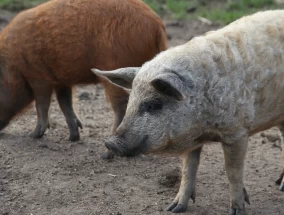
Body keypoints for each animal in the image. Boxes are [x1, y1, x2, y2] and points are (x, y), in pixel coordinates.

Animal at [0, 0, 166, 156]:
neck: (12, 63)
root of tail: (157, 25)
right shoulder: (61, 80)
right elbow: (65, 102)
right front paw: (73, 138)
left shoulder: (38, 76)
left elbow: (42, 104)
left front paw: (32, 135)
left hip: (115, 69)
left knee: (122, 105)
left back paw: (105, 154)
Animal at [92, 10, 284, 215]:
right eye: (131, 101)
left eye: (153, 105)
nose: (110, 142)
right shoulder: (191, 139)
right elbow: (188, 169)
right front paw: (174, 208)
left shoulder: (237, 131)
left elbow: (233, 171)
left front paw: (237, 210)